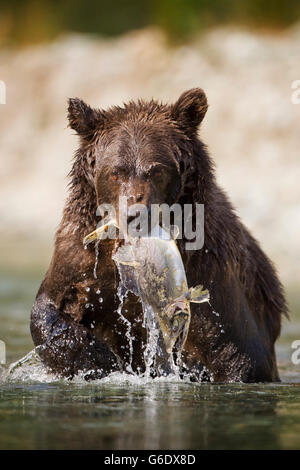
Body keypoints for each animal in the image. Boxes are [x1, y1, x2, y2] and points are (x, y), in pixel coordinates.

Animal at [29, 88, 286, 382]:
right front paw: (102, 360)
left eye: (157, 170)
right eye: (116, 172)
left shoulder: (211, 274)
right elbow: (50, 307)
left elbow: (237, 353)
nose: (136, 214)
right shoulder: (82, 256)